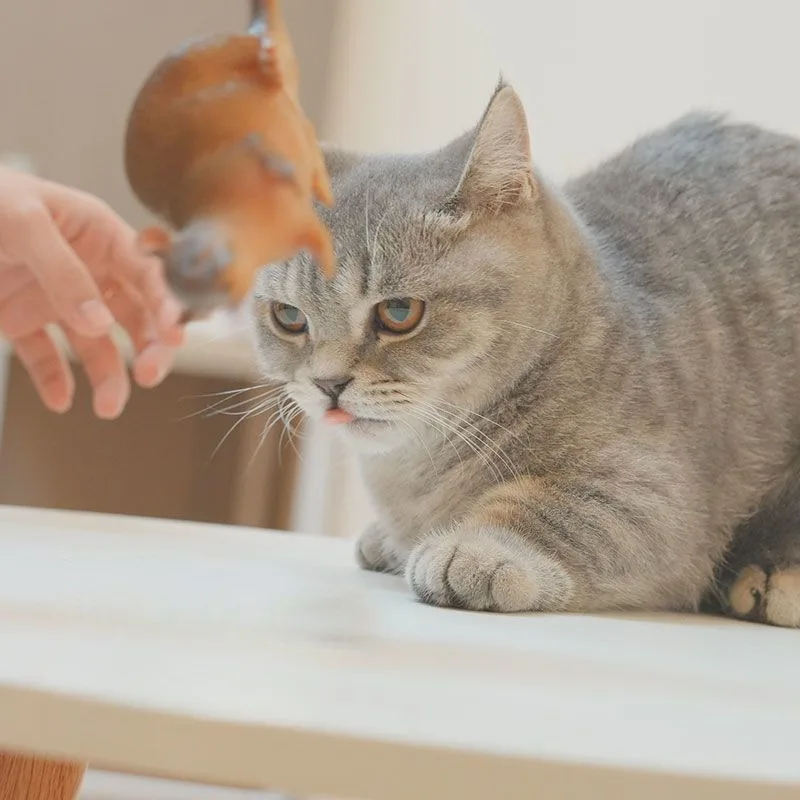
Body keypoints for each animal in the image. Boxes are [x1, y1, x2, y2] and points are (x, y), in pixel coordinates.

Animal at [253, 83, 800, 632]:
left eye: (399, 311)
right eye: (289, 317)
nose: (327, 384)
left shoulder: (659, 498)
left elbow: (550, 507)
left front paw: (475, 549)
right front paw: (388, 539)